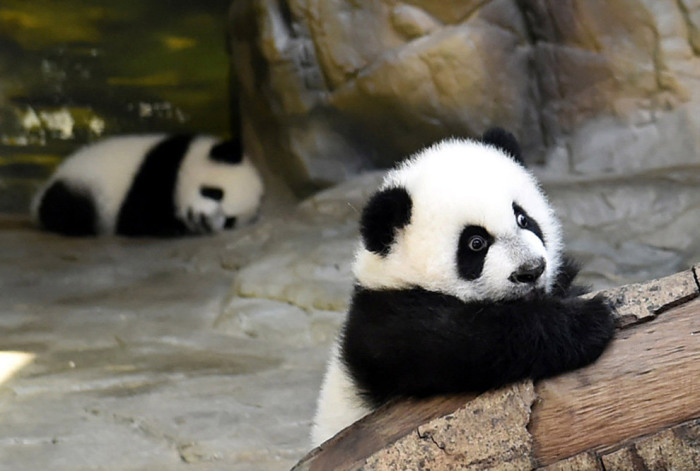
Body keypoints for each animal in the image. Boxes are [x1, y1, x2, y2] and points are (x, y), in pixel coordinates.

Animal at [31, 134, 264, 238]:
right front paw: (172, 227)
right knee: (68, 209)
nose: (204, 220)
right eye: (214, 193)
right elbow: (137, 217)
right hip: (81, 184)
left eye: (230, 220)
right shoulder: (156, 171)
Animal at [312, 127, 612, 448]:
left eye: (523, 218)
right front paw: (589, 320)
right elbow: (470, 342)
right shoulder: (388, 327)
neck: (398, 275)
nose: (530, 271)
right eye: (476, 243)